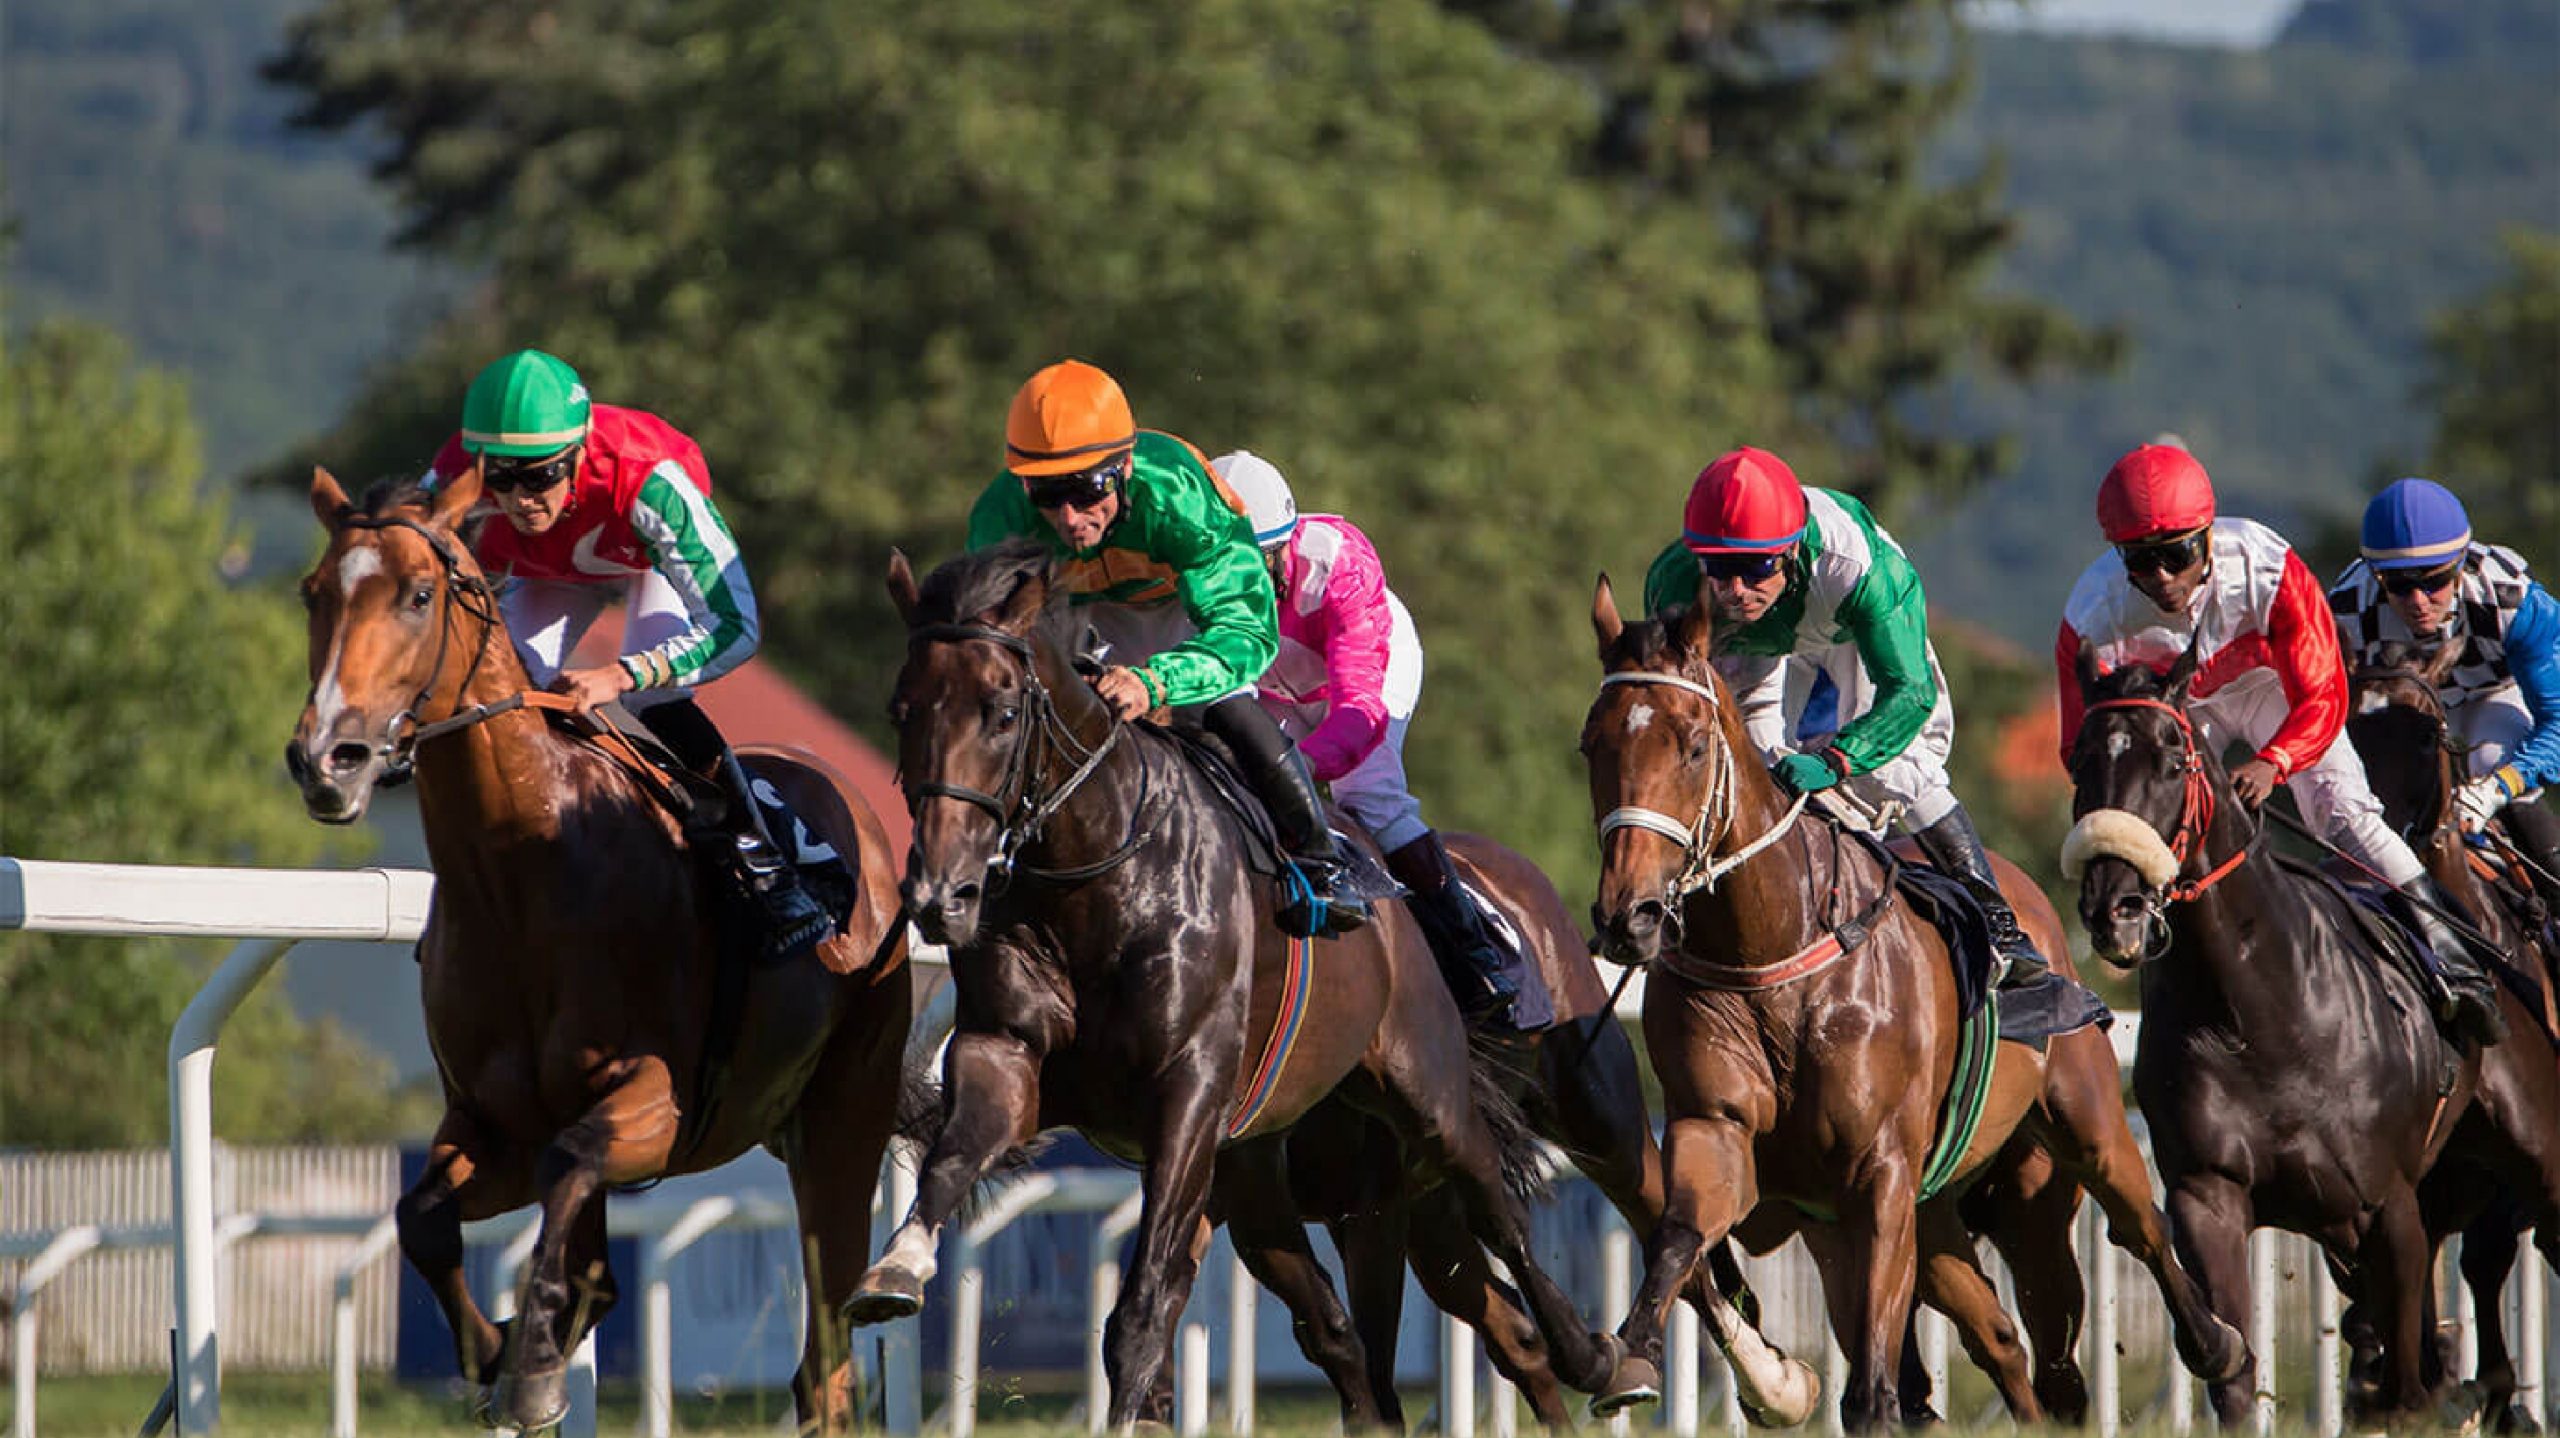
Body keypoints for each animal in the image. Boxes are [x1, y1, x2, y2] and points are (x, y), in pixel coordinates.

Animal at [287, 468, 915, 1434]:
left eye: (419, 595)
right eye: (315, 593)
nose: (330, 758)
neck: (522, 871)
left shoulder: (659, 1104)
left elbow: (572, 1161)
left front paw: (538, 1356)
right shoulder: (490, 1120)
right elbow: (423, 1213)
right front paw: (507, 1347)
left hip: (847, 1114)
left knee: (829, 1362)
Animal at [851, 542, 1610, 1427]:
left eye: (1002, 713)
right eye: (903, 709)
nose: (942, 895)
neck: (1096, 879)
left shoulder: (1189, 1093)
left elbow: (1142, 1312)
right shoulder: (1007, 1054)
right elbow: (951, 1159)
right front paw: (895, 1268)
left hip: (1424, 1088)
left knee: (1500, 1211)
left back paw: (1596, 1353)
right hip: (1256, 1174)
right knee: (1342, 1333)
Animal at [1579, 578, 2242, 1433]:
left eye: (1693, 746)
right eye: (1593, 746)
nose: (1627, 917)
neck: (1773, 955)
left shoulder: (1883, 1172)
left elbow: (1874, 1385)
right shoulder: (1724, 1135)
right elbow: (1679, 1236)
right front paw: (1641, 1358)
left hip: (2079, 1121)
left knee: (2141, 1229)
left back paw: (2216, 1342)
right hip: (1933, 1220)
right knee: (2004, 1340)